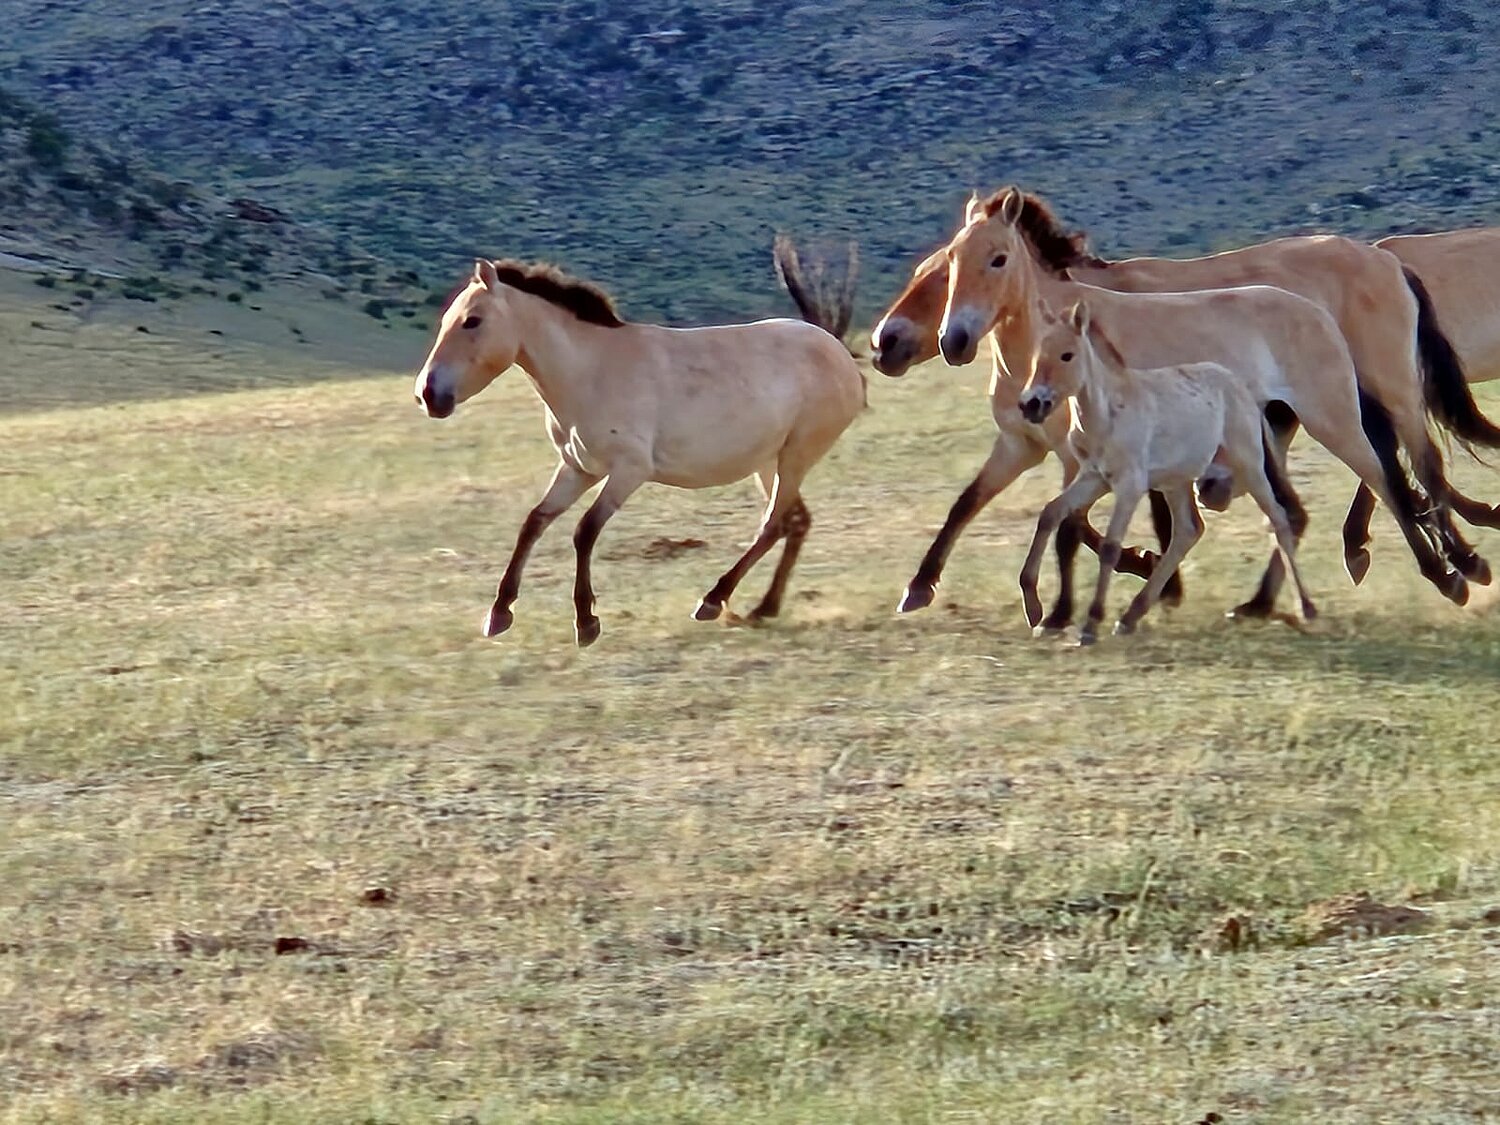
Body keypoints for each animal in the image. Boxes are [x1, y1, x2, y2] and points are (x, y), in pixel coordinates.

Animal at [413, 258, 866, 647]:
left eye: (472, 321)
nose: (427, 395)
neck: (591, 372)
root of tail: (839, 351)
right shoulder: (578, 468)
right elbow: (534, 522)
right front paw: (499, 614)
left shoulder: (628, 470)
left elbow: (585, 531)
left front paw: (586, 621)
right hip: (769, 463)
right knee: (796, 521)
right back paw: (763, 608)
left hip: (795, 456)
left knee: (774, 524)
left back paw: (713, 601)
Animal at [938, 187, 1467, 611]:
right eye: (950, 263)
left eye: (999, 258)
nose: (954, 341)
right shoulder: (1040, 450)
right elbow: (1010, 509)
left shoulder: (1085, 459)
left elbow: (1073, 526)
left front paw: (1065, 611)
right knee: (1329, 497)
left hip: (1338, 415)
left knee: (1391, 477)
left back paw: (1449, 575)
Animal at [1017, 300, 1316, 646]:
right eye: (1037, 354)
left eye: (1067, 355)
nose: (1031, 404)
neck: (1107, 414)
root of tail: (1239, 387)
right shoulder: (1094, 478)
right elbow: (1050, 513)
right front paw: (1034, 608)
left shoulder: (1130, 485)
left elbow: (1110, 547)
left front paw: (1090, 625)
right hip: (1176, 483)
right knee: (1187, 531)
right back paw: (1131, 616)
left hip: (1250, 467)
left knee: (1279, 519)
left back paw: (1306, 607)